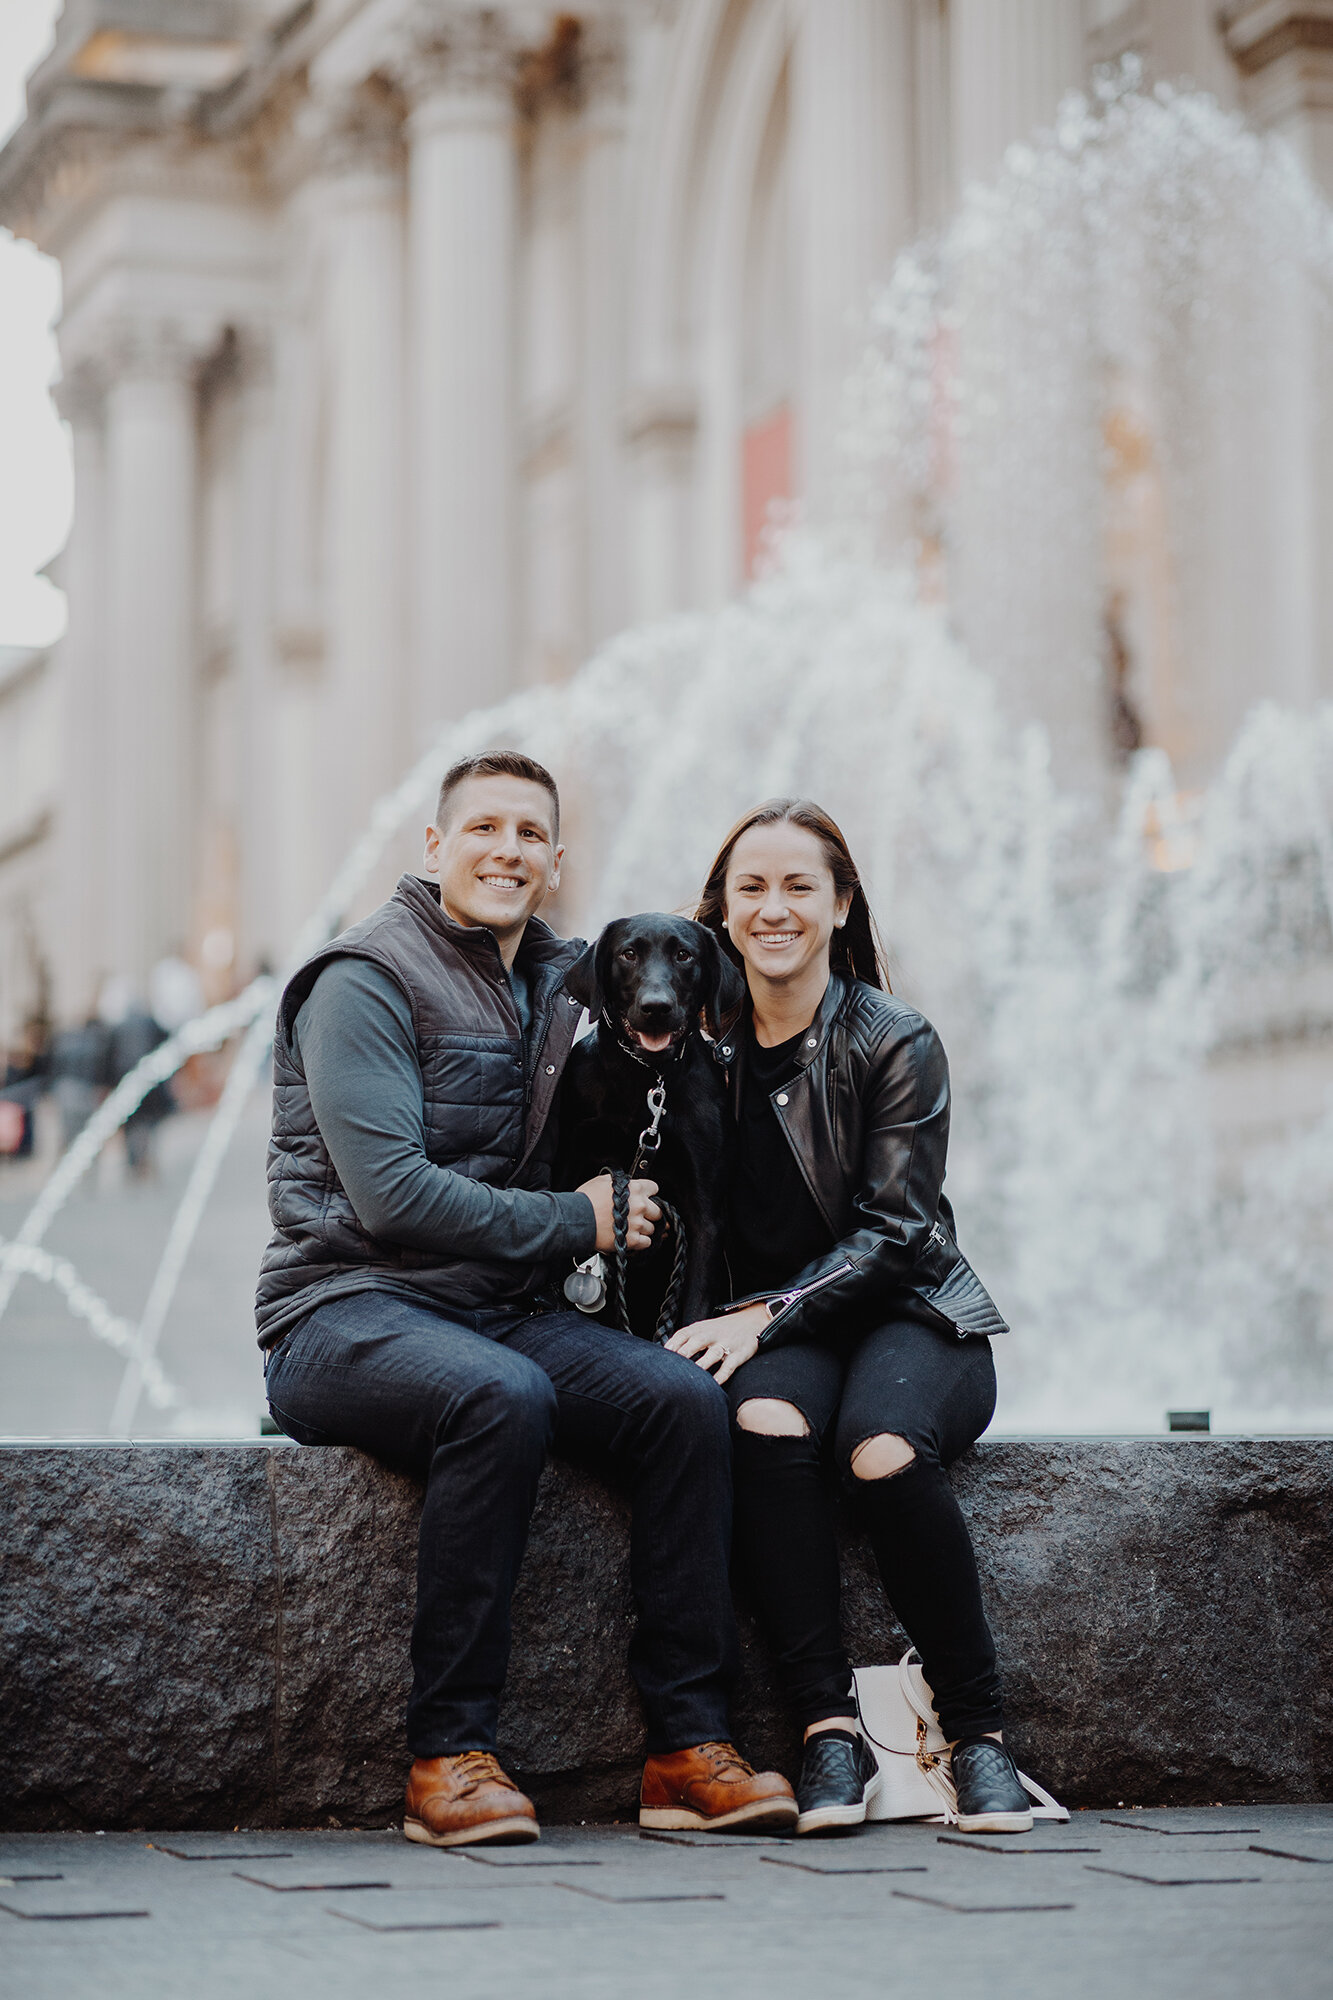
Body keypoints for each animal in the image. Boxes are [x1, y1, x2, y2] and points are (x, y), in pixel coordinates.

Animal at [556, 916, 748, 1336]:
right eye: (628, 953)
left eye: (684, 955)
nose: (656, 1007)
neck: (647, 1077)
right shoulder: (573, 1165)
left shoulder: (706, 1213)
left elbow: (694, 1306)